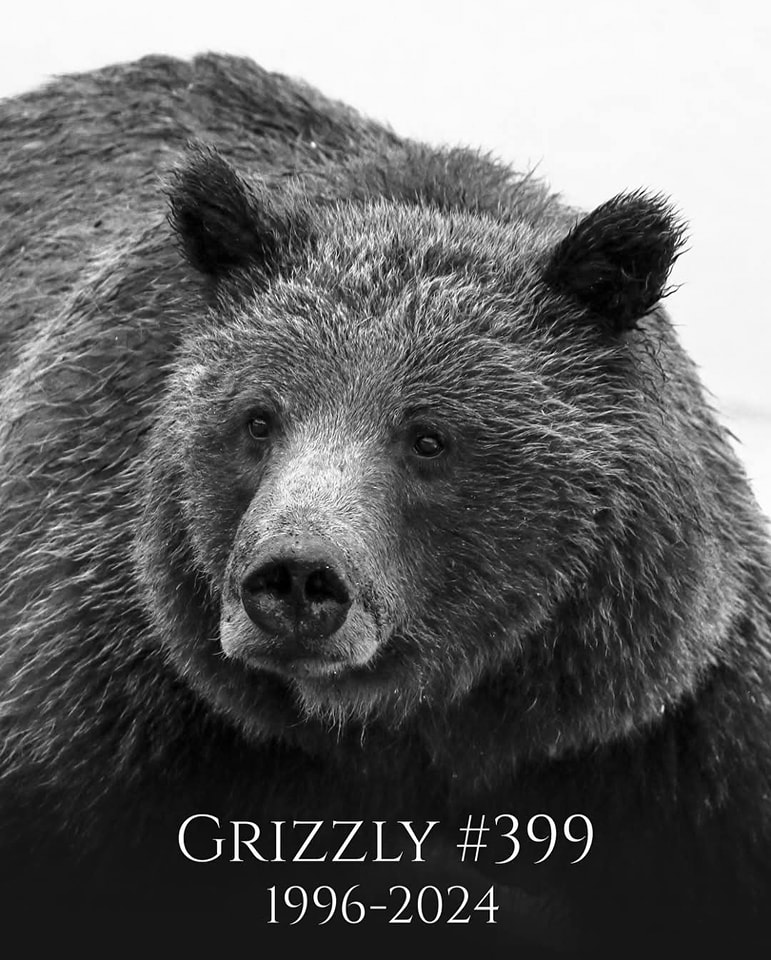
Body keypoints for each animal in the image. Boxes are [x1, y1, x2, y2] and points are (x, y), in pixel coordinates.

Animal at [1, 52, 770, 957]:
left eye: (428, 437)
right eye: (257, 417)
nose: (296, 578)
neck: (403, 724)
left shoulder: (664, 738)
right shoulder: (109, 712)